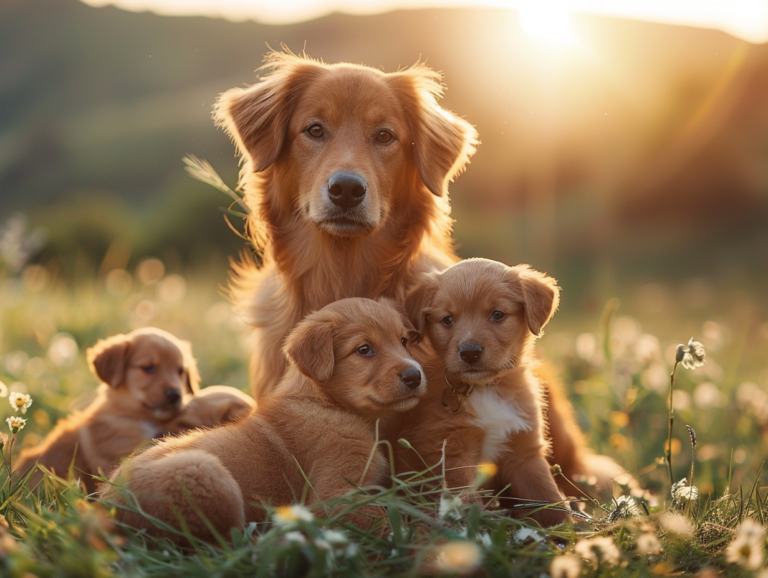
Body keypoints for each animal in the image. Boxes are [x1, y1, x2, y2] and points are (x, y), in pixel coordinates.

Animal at [102, 300, 426, 544]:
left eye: (403, 341)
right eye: (364, 349)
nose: (415, 376)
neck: (324, 402)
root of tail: (107, 509)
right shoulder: (334, 498)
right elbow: (385, 520)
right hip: (206, 472)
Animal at [396, 258, 564, 524]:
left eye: (497, 314)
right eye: (447, 319)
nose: (470, 352)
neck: (486, 388)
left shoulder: (525, 452)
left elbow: (547, 497)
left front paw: (571, 530)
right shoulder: (450, 453)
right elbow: (465, 502)